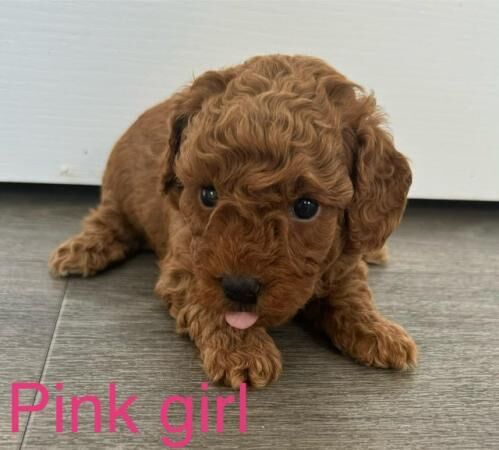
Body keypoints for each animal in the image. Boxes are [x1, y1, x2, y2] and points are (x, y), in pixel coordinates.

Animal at [50, 55, 418, 386]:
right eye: (208, 194)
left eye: (306, 207)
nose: (239, 287)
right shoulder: (186, 265)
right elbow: (212, 305)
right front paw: (243, 352)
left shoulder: (343, 263)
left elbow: (352, 295)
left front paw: (379, 332)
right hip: (120, 194)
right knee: (108, 221)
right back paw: (81, 251)